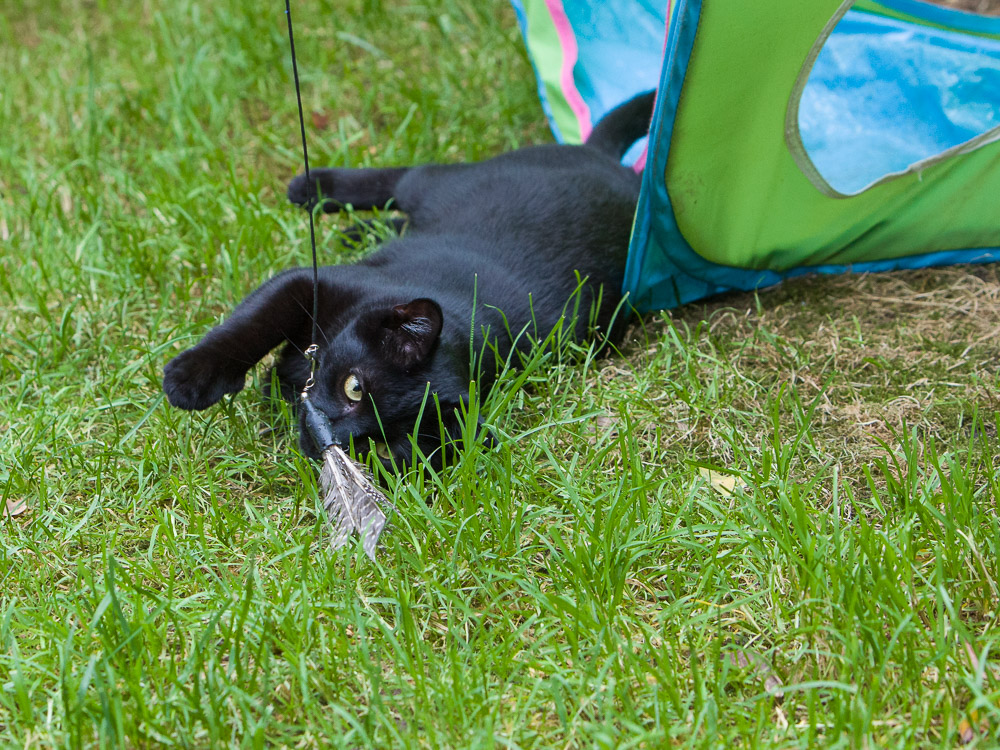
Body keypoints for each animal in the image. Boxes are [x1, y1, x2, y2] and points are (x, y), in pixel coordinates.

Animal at [162, 91, 656, 470]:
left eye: (379, 446)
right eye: (354, 387)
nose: (326, 437)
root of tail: (608, 161)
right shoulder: (308, 281)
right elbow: (252, 325)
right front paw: (190, 380)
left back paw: (356, 228)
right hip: (444, 185)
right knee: (406, 176)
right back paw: (311, 188)